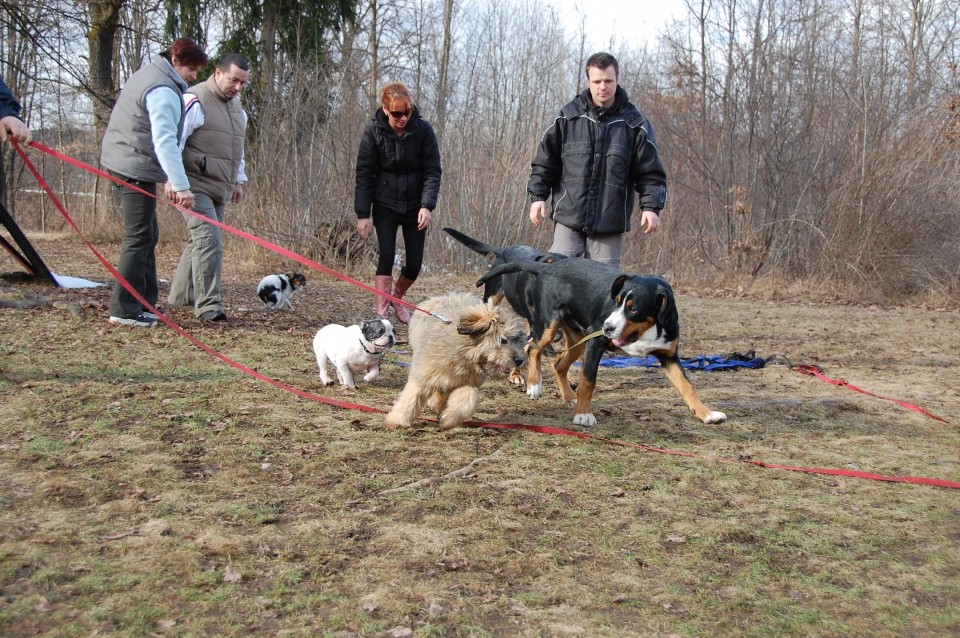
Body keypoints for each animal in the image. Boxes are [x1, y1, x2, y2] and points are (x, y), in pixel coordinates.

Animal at [384, 292, 524, 432]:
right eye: (503, 340)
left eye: (517, 340)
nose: (520, 360)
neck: (465, 356)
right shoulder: (423, 376)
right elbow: (411, 399)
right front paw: (396, 421)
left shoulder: (468, 382)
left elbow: (469, 396)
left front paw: (448, 419)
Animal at [480, 258, 728, 428]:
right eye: (616, 301)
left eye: (633, 308)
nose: (607, 327)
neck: (643, 331)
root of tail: (547, 267)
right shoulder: (596, 342)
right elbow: (588, 381)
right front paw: (583, 415)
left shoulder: (669, 355)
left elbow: (687, 386)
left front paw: (706, 413)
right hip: (550, 325)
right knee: (532, 348)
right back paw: (534, 384)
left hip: (578, 338)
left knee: (559, 363)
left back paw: (568, 396)